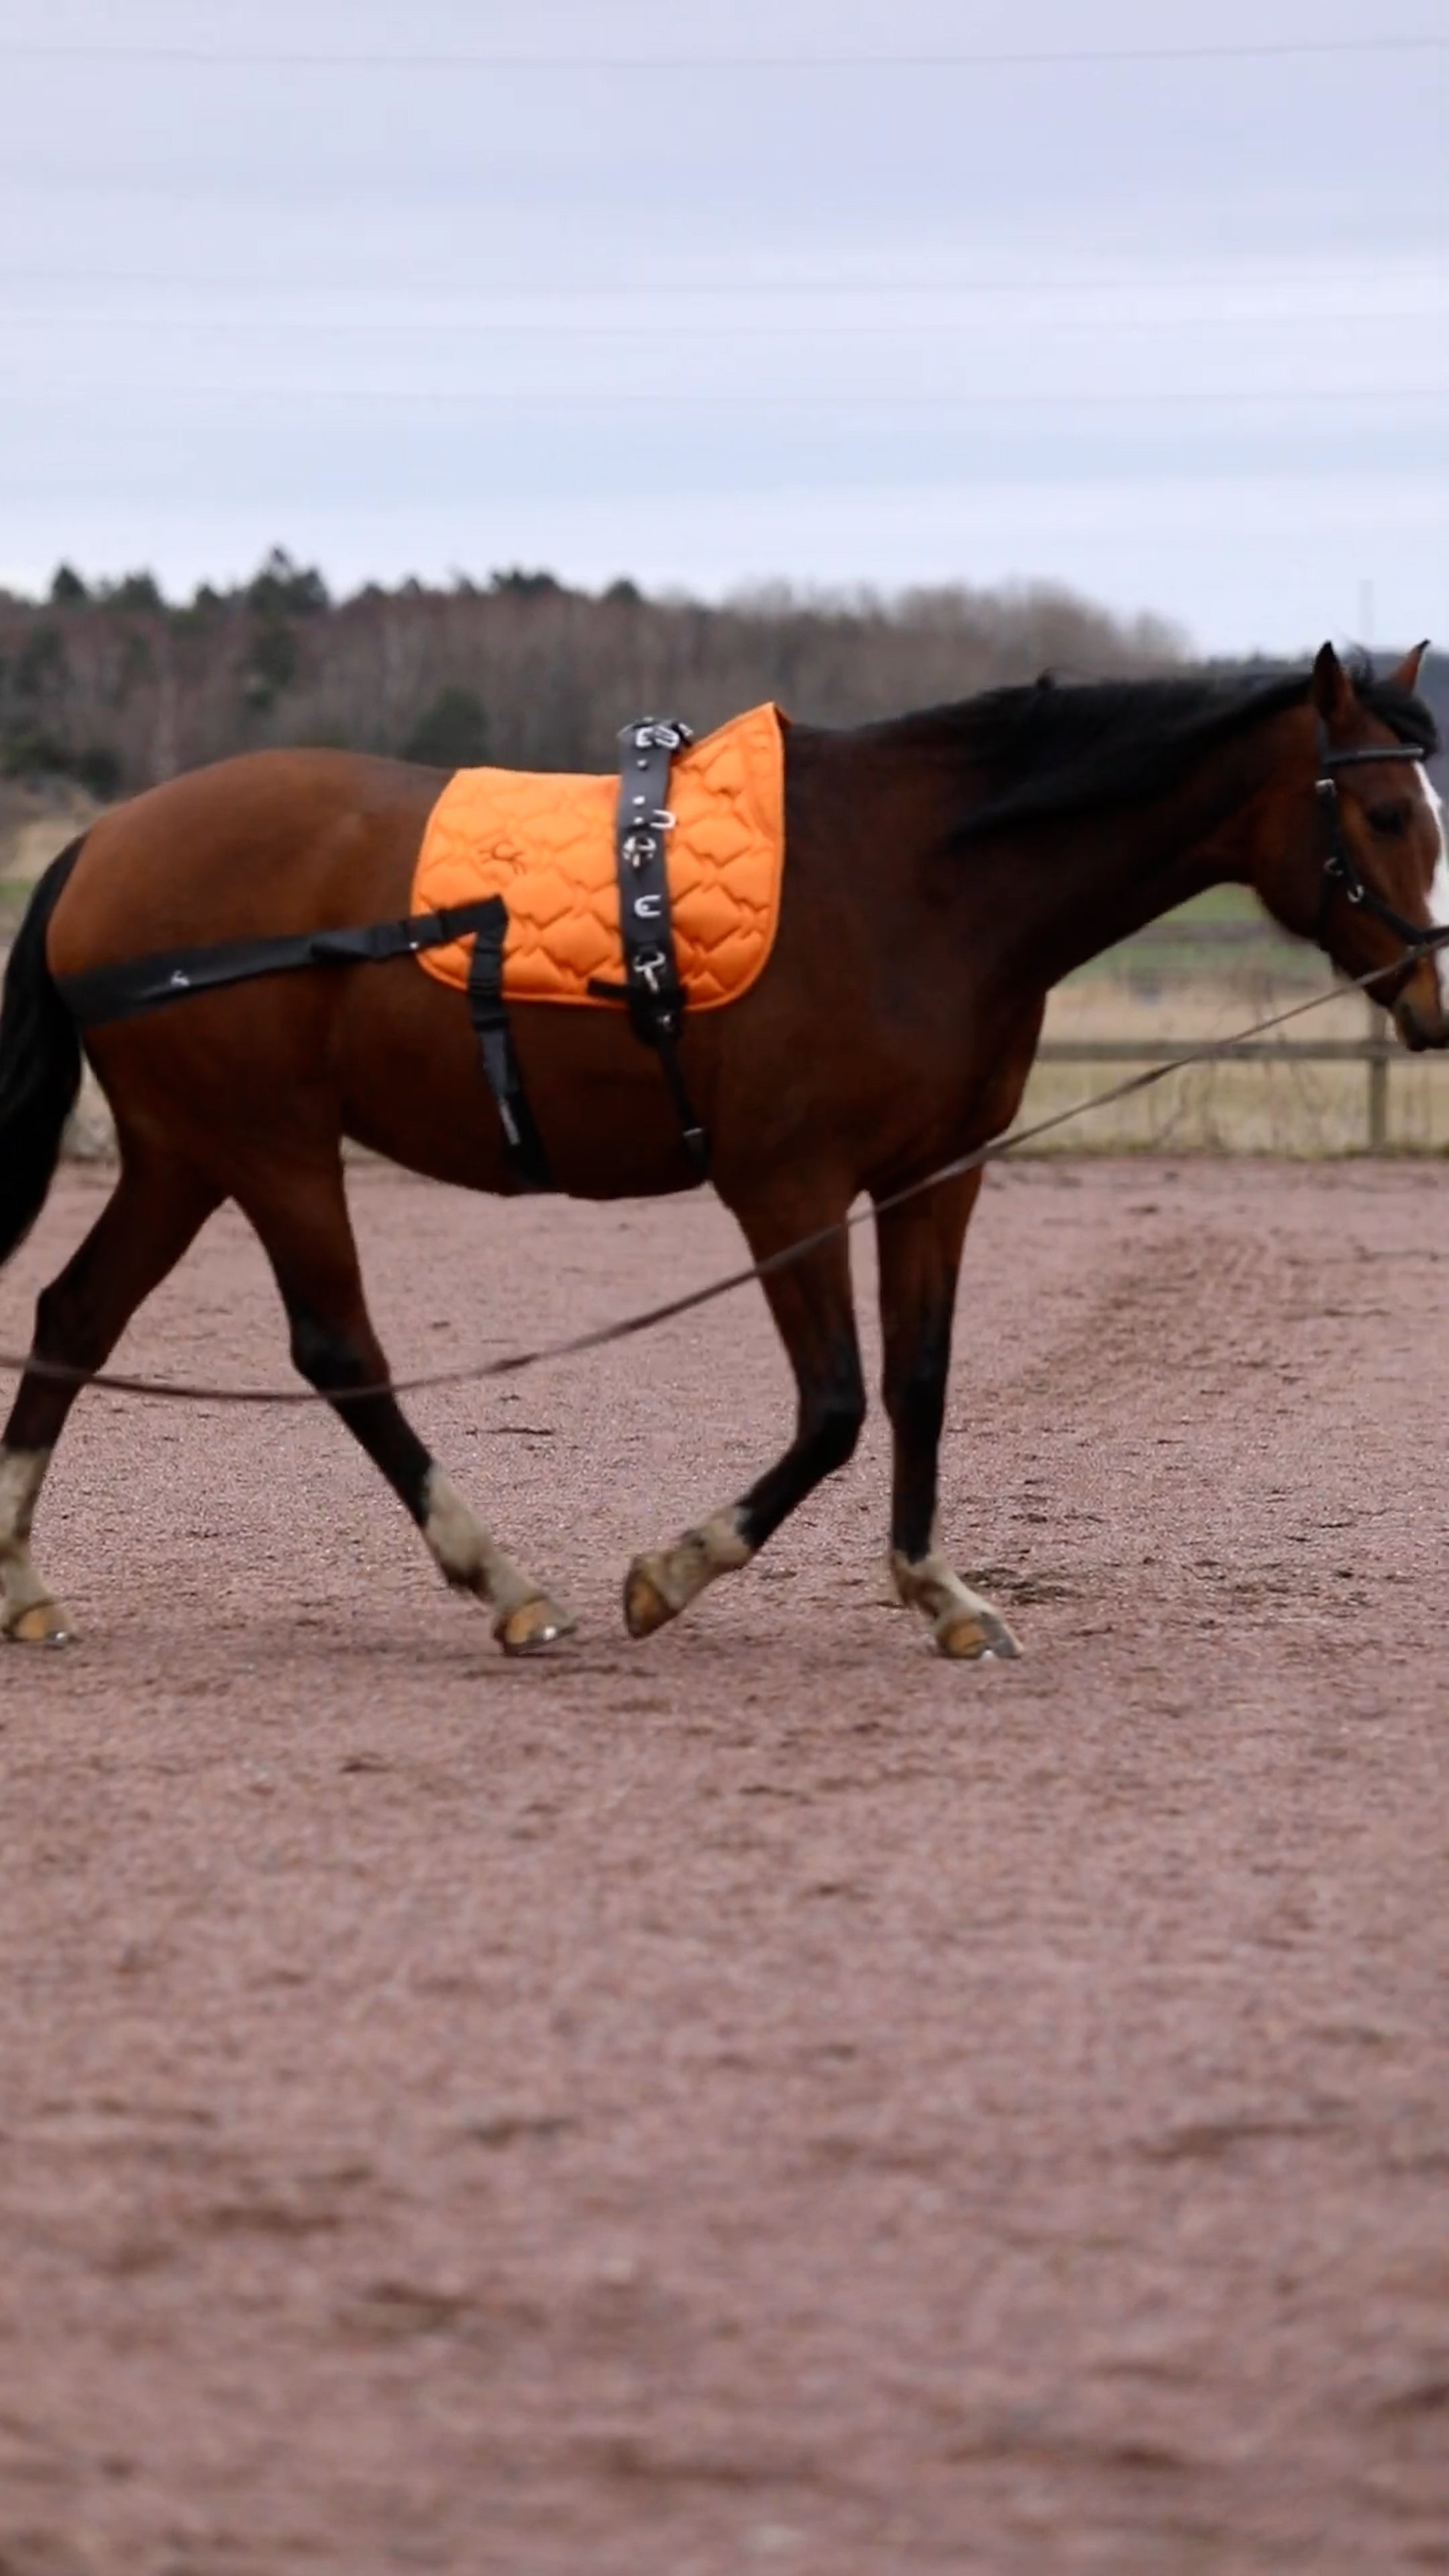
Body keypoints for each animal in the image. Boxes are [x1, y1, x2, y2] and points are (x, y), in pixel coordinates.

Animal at [0, 640, 1441, 1662]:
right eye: (1382, 810)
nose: (1435, 999)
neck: (918, 879)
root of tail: (101, 845)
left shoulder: (935, 1178)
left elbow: (918, 1382)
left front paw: (938, 1588)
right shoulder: (785, 1187)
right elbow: (836, 1404)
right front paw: (674, 1573)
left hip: (187, 1155)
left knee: (74, 1316)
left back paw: (23, 1582)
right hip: (273, 1147)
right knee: (337, 1352)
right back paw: (505, 1583)